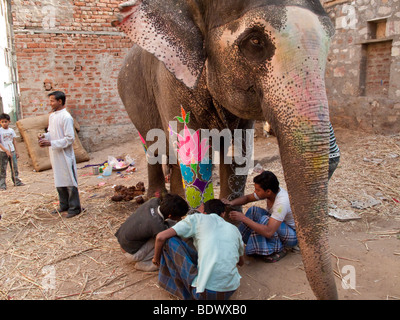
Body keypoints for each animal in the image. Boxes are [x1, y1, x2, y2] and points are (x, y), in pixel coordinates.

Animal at [111, 0, 338, 300]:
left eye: (330, 40)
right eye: (255, 41)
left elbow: (239, 151)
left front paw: (231, 218)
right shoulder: (171, 82)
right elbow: (194, 154)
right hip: (131, 97)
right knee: (153, 147)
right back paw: (155, 197)